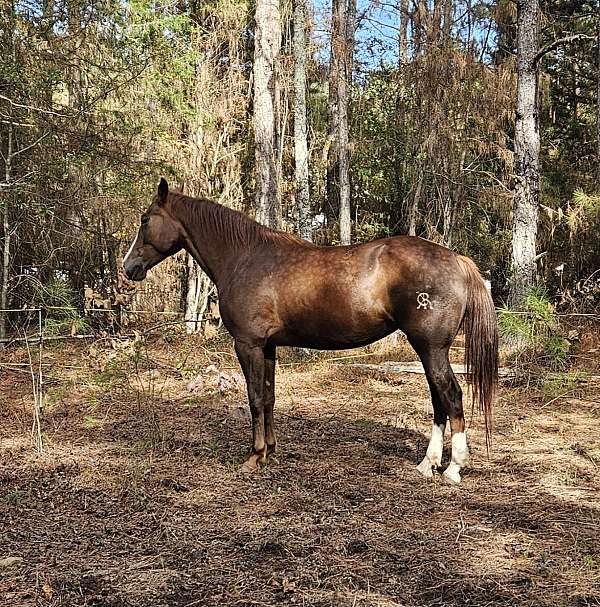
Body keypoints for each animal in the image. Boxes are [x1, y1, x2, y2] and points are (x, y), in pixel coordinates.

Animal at [122, 179, 496, 484]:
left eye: (144, 220)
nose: (128, 268)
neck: (244, 258)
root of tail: (457, 260)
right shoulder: (268, 347)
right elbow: (269, 398)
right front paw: (269, 451)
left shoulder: (248, 345)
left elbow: (254, 398)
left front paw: (253, 457)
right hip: (428, 350)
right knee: (438, 400)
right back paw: (427, 464)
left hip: (431, 348)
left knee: (451, 396)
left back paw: (453, 468)